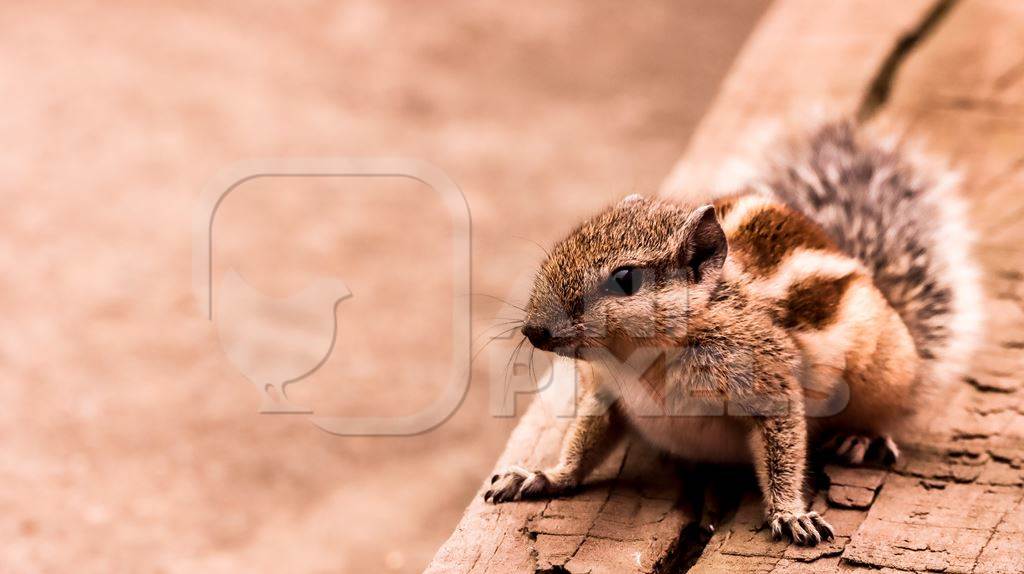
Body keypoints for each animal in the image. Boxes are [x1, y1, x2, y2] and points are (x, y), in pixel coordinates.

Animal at [483, 118, 978, 544]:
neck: (645, 358)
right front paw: (544, 475)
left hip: (884, 373)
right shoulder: (605, 392)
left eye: (625, 278)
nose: (534, 330)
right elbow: (584, 443)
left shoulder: (767, 376)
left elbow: (782, 450)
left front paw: (790, 513)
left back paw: (862, 436)